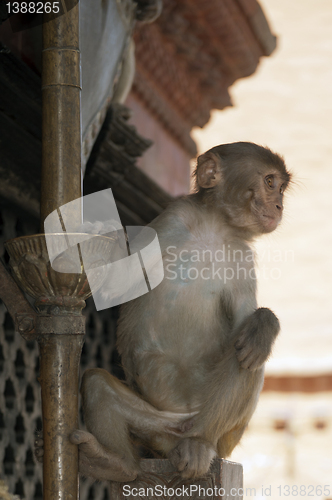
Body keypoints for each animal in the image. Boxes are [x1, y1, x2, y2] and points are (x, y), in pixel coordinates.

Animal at [35, 140, 292, 480]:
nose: (279, 206)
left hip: (225, 437)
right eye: (270, 182)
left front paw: (265, 323)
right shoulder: (171, 220)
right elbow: (116, 286)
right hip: (155, 428)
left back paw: (200, 440)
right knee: (97, 384)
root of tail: (175, 438)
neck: (213, 228)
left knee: (248, 354)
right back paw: (115, 463)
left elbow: (243, 323)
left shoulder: (242, 257)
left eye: (281, 188)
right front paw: (100, 239)